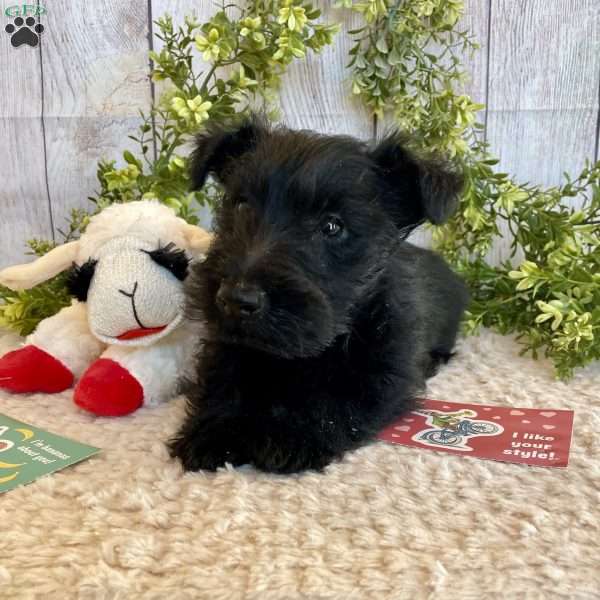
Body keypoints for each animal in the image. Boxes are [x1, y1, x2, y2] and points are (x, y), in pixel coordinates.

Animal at [169, 116, 468, 474]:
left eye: (332, 226)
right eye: (241, 205)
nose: (235, 299)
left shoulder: (382, 374)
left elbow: (335, 401)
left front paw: (290, 434)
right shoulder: (228, 344)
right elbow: (223, 378)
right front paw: (216, 431)